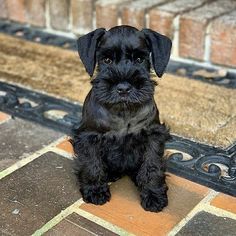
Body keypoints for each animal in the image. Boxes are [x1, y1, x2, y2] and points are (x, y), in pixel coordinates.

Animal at [72, 25, 171, 212]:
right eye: (107, 60)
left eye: (139, 59)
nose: (124, 88)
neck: (124, 111)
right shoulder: (89, 136)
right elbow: (91, 163)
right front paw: (95, 190)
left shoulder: (153, 135)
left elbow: (152, 165)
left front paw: (153, 194)